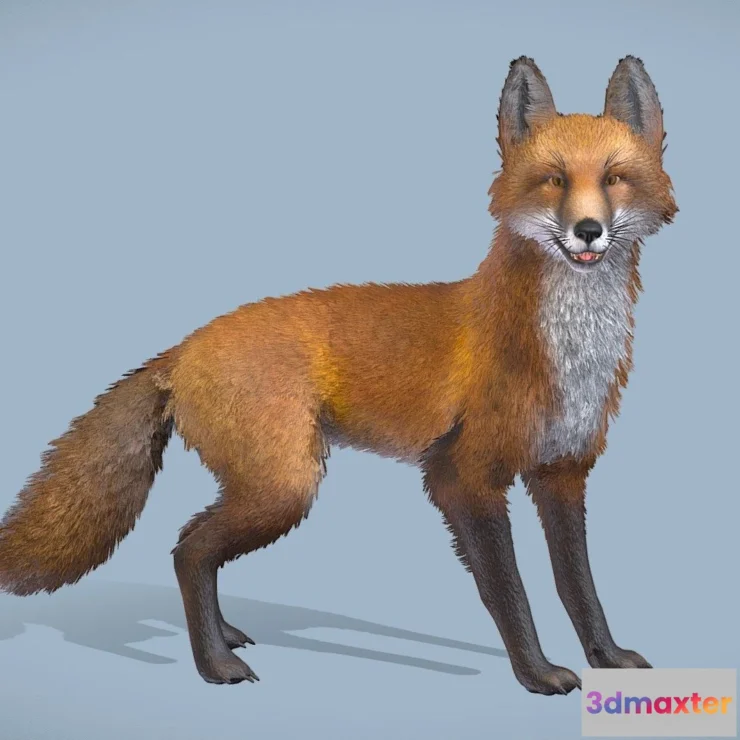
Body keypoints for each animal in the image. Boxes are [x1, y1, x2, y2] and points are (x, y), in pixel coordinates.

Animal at [0, 56, 677, 695]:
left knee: (194, 547)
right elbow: (510, 593)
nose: (587, 230)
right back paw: (214, 665)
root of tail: (183, 347)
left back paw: (223, 635)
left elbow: (579, 585)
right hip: (286, 487)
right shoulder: (461, 475)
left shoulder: (562, 471)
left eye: (614, 178)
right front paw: (536, 674)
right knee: (188, 549)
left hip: (271, 486)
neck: (566, 354)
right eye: (554, 180)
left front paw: (606, 658)